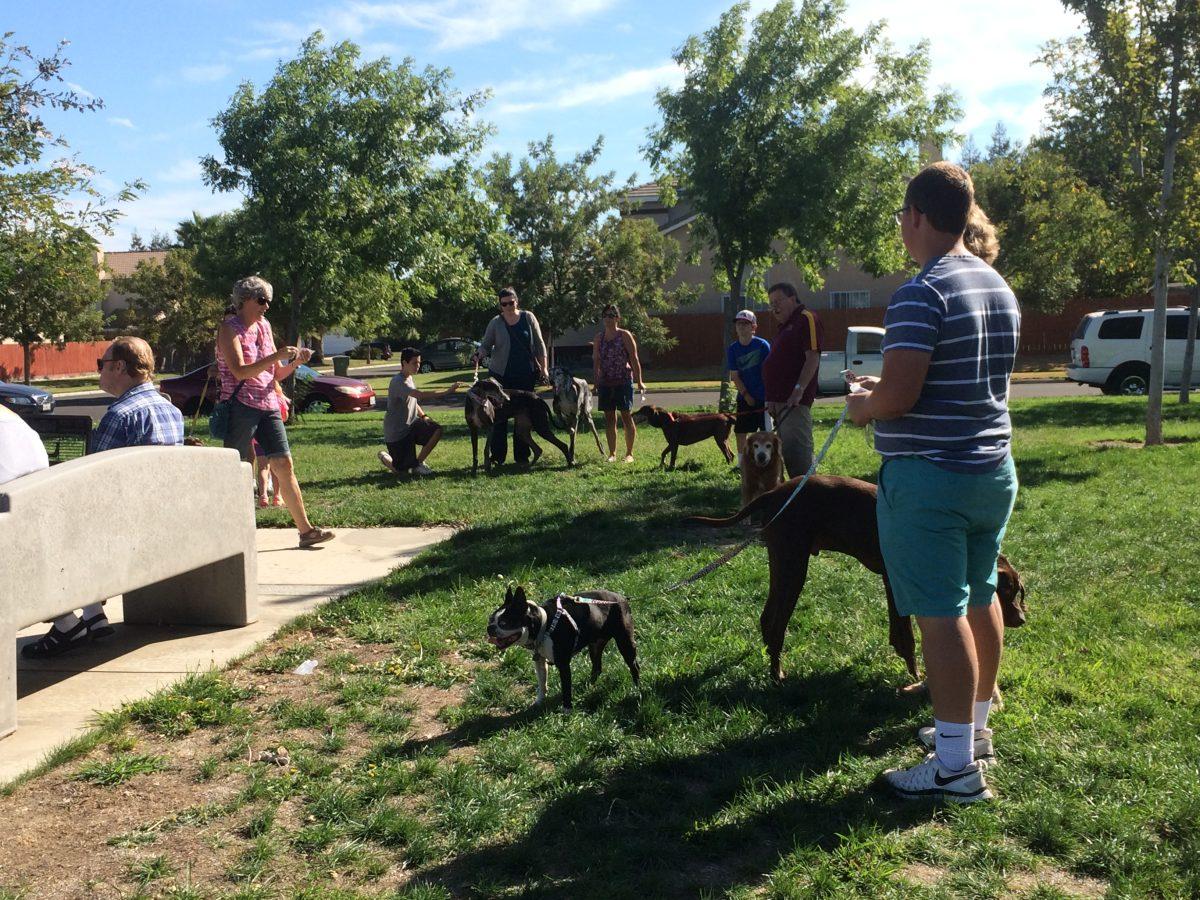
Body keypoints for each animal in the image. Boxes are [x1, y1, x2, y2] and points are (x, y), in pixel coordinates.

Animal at [484, 588, 643, 715]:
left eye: (504, 623)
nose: (490, 628)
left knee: (633, 665)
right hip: (595, 646)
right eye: (490, 619)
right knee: (597, 666)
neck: (544, 625)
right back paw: (589, 685)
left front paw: (567, 709)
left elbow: (566, 688)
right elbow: (542, 683)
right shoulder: (540, 661)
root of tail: (622, 598)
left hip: (625, 642)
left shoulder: (563, 665)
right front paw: (539, 702)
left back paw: (637, 688)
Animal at [691, 472, 1027, 681]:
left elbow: (897, 633)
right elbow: (905, 635)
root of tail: (775, 492)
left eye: (1017, 591)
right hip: (793, 567)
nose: (1022, 620)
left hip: (783, 565)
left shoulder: (892, 584)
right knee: (776, 624)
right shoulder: (897, 584)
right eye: (1006, 590)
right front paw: (916, 676)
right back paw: (777, 673)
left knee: (766, 617)